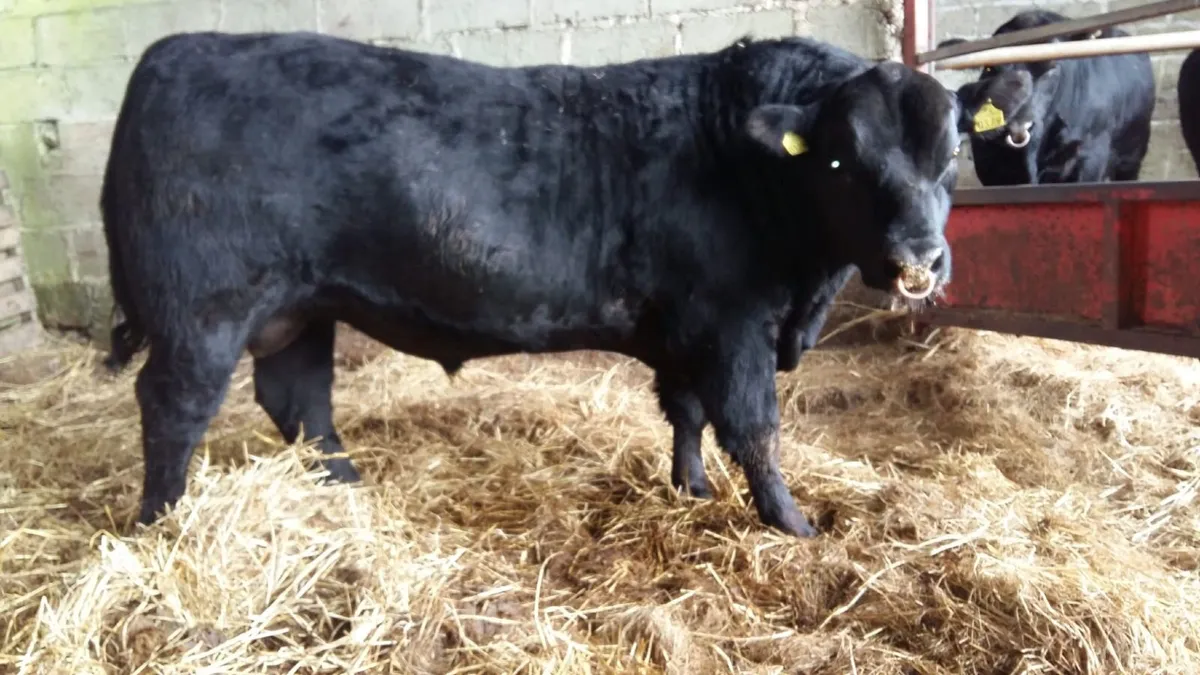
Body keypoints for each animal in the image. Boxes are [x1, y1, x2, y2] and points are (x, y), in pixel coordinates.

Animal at [100, 30, 971, 538]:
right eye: (842, 157)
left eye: (951, 153)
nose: (920, 257)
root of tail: (168, 53)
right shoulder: (731, 327)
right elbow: (754, 429)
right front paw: (793, 523)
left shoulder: (684, 331)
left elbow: (687, 415)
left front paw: (689, 488)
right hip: (204, 315)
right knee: (173, 407)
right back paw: (162, 521)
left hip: (302, 307)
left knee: (300, 401)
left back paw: (344, 486)